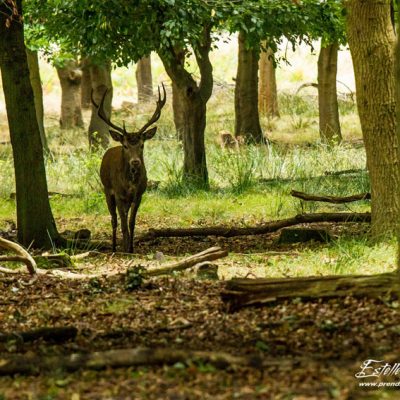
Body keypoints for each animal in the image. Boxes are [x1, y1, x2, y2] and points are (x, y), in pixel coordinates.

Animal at [92, 84, 166, 252]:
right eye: (125, 145)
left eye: (142, 145)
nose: (135, 162)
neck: (130, 183)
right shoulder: (118, 195)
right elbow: (123, 224)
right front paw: (125, 249)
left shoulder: (138, 195)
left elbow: (131, 223)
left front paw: (131, 248)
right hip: (107, 190)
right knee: (114, 220)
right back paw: (114, 247)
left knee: (122, 218)